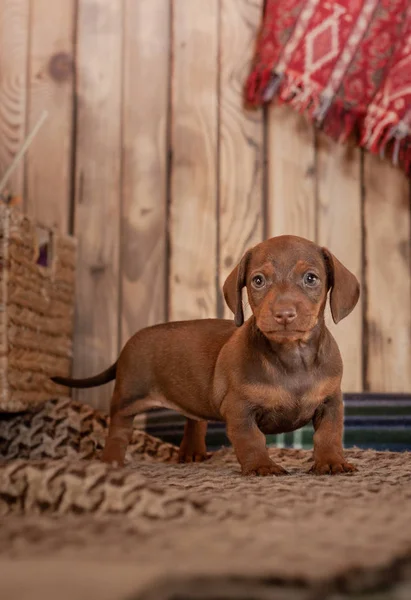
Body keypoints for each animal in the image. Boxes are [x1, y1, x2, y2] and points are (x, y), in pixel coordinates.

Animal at [51, 237, 360, 476]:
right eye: (258, 280)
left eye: (311, 278)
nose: (284, 314)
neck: (292, 356)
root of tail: (128, 344)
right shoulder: (239, 409)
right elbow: (251, 439)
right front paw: (261, 466)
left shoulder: (331, 402)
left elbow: (329, 434)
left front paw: (331, 462)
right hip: (128, 396)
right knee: (118, 429)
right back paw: (112, 461)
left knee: (194, 419)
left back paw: (192, 451)